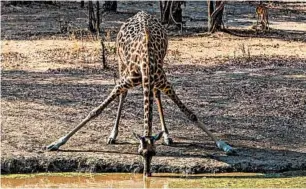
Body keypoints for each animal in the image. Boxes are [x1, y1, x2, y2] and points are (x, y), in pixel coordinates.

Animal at [46, 11, 235, 177]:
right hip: (121, 62)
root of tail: (140, 13)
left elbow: (191, 114)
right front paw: (57, 143)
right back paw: (113, 135)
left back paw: (166, 135)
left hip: (160, 68)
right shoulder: (127, 80)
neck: (146, 64)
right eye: (140, 152)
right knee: (124, 94)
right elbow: (95, 111)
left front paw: (225, 146)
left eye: (154, 153)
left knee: (156, 95)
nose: (147, 173)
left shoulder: (163, 82)